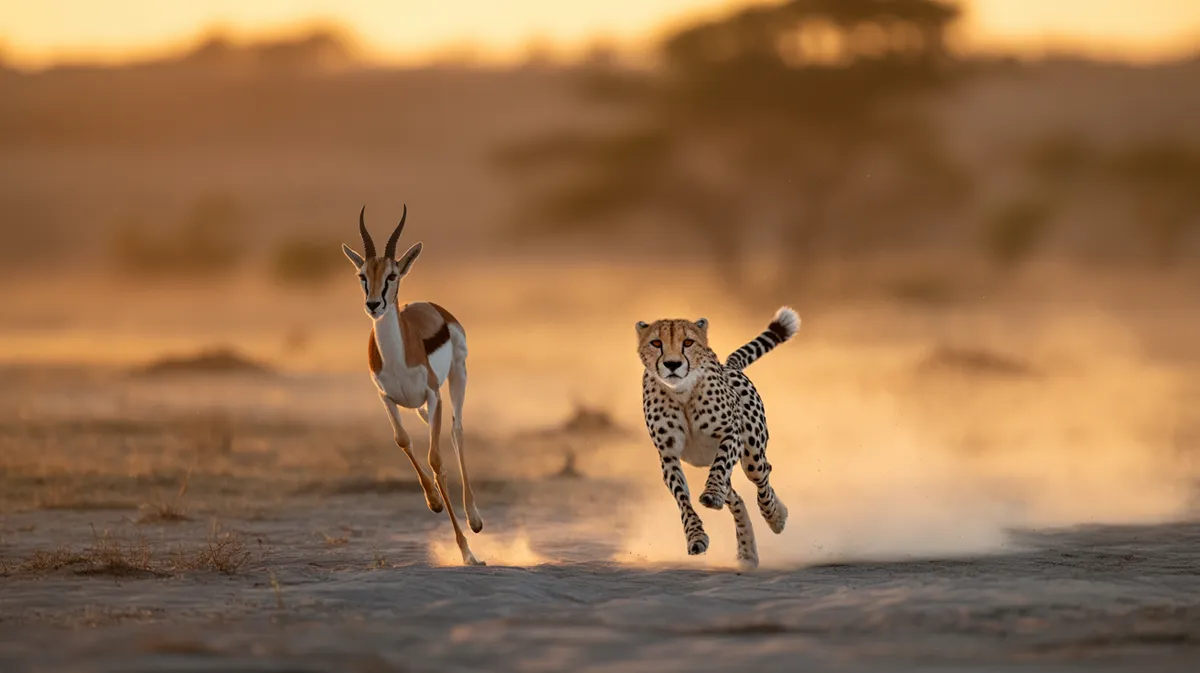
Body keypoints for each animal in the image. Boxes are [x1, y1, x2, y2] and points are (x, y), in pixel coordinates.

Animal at [342, 205, 484, 566]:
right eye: (362, 274)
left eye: (392, 274)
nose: (374, 304)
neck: (398, 356)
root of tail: (431, 306)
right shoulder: (386, 398)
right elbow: (403, 440)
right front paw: (433, 501)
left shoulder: (434, 396)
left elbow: (435, 459)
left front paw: (467, 552)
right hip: (420, 406)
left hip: (457, 377)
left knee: (456, 431)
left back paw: (475, 520)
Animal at [636, 306, 801, 570]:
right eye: (656, 343)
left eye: (688, 342)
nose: (672, 364)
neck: (682, 392)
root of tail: (728, 366)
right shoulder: (668, 455)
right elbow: (683, 499)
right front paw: (696, 537)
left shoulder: (730, 434)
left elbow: (720, 468)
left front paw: (711, 494)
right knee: (736, 497)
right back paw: (746, 553)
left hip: (752, 454)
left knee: (762, 474)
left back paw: (776, 517)